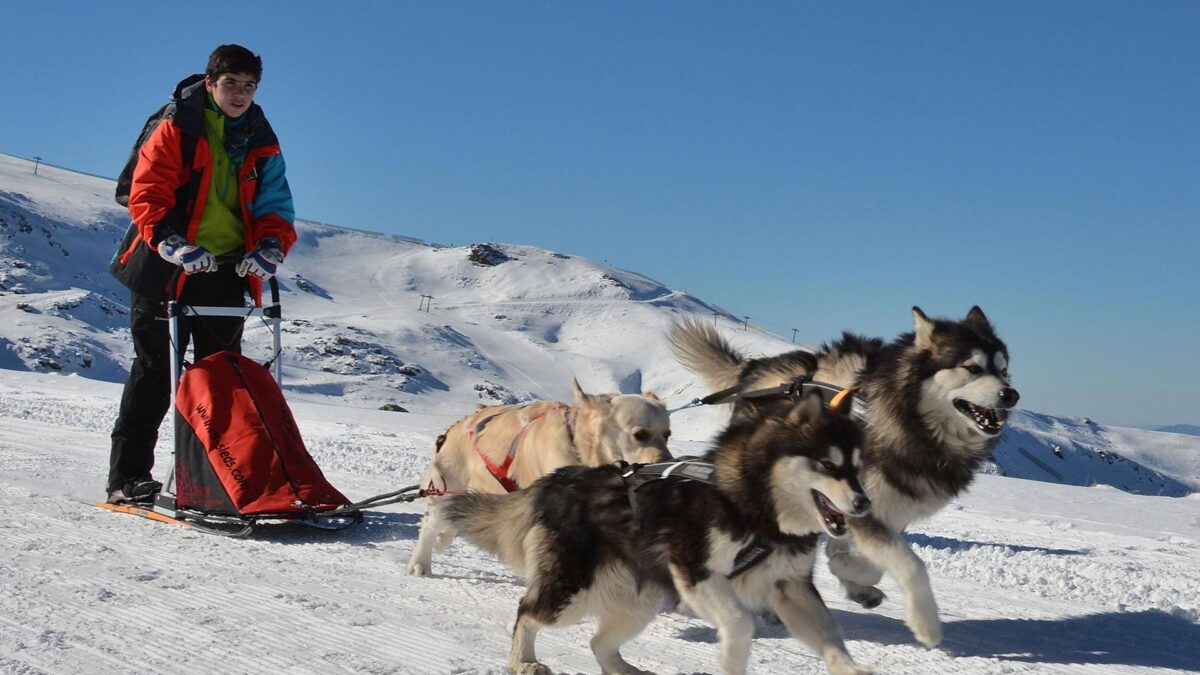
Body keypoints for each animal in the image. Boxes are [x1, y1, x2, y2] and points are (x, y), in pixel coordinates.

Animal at [403, 379, 667, 571]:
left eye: (668, 434)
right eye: (640, 434)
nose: (665, 464)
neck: (579, 449)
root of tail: (454, 427)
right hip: (448, 489)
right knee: (430, 524)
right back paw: (420, 564)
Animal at [441, 389, 873, 672]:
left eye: (857, 467)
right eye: (829, 464)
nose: (863, 504)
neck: (754, 505)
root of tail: (562, 479)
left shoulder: (791, 587)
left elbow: (830, 634)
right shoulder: (695, 570)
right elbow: (739, 623)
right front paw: (733, 657)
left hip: (639, 602)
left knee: (599, 643)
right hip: (572, 593)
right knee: (528, 613)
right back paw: (524, 661)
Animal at [672, 306, 1017, 648]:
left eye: (1004, 370)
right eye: (972, 367)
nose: (1011, 395)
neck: (911, 423)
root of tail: (758, 366)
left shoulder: (883, 510)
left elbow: (870, 561)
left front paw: (855, 579)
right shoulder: (860, 504)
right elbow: (910, 564)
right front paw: (926, 623)